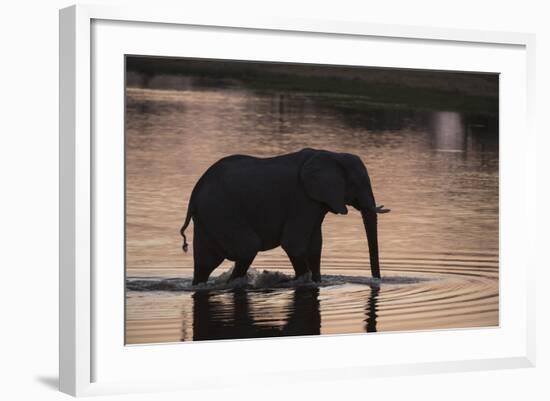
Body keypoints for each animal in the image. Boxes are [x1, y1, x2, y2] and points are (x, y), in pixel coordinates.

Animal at [180, 148, 388, 284]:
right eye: (358, 182)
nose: (377, 281)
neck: (333, 155)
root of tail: (194, 195)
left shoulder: (315, 202)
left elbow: (315, 246)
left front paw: (317, 282)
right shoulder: (301, 199)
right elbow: (294, 243)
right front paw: (302, 281)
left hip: (209, 217)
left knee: (205, 263)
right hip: (222, 210)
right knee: (248, 247)